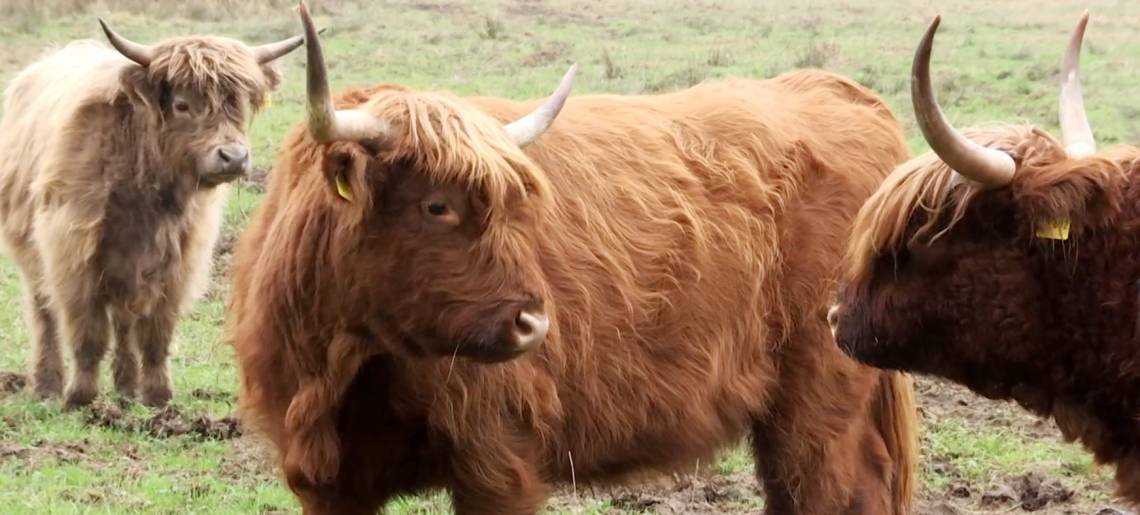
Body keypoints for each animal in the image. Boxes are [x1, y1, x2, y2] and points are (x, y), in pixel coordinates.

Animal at [229, 2, 916, 512]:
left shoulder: (496, 464)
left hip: (818, 400)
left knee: (833, 489)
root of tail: (835, 90)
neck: (349, 357)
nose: (532, 323)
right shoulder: (327, 483)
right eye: (436, 206)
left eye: (513, 205)